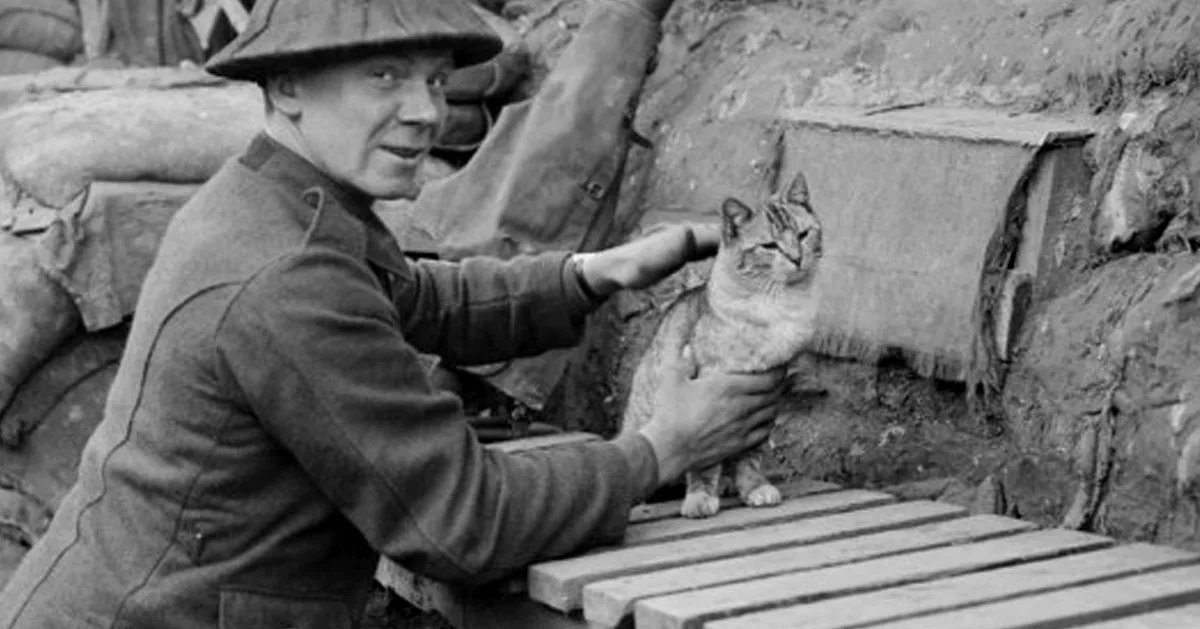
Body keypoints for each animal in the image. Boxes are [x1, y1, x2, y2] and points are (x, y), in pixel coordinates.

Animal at [624, 170, 820, 516]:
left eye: (803, 233)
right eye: (769, 246)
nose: (797, 259)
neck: (779, 303)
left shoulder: (768, 391)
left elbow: (751, 456)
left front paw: (754, 488)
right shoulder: (712, 383)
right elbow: (704, 460)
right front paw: (700, 498)